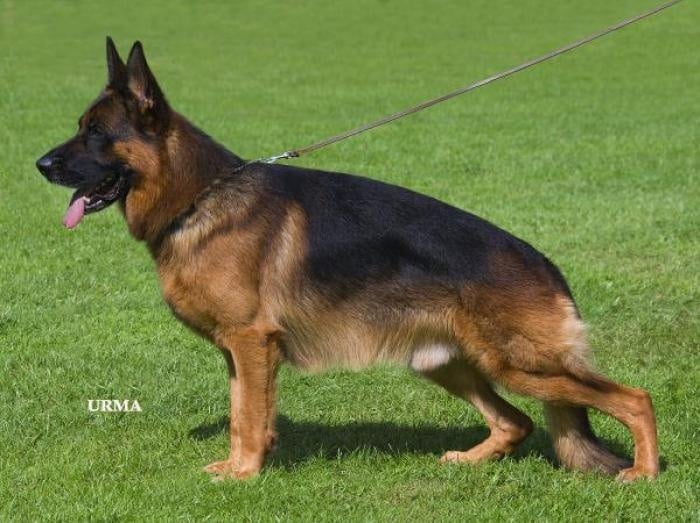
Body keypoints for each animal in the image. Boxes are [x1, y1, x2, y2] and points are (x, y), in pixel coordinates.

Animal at [37, 39, 660, 482]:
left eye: (96, 134)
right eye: (79, 128)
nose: (40, 164)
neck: (198, 197)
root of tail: (547, 265)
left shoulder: (252, 342)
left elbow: (249, 418)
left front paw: (244, 475)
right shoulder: (238, 352)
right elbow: (243, 414)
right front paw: (242, 467)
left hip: (518, 364)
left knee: (634, 398)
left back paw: (645, 474)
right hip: (444, 363)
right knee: (518, 420)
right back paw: (470, 461)